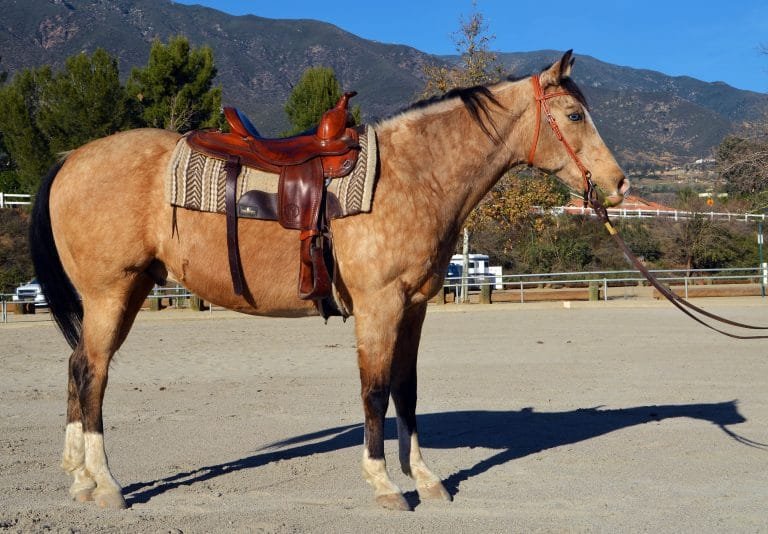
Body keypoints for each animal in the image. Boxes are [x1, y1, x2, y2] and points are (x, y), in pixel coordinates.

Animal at [30, 51, 628, 511]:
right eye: (574, 114)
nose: (619, 184)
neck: (413, 175)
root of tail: (70, 159)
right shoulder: (378, 305)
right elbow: (375, 392)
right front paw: (384, 485)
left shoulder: (414, 306)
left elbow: (407, 391)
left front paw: (426, 478)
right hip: (111, 292)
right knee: (93, 374)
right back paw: (107, 484)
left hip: (123, 293)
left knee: (77, 367)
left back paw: (80, 478)